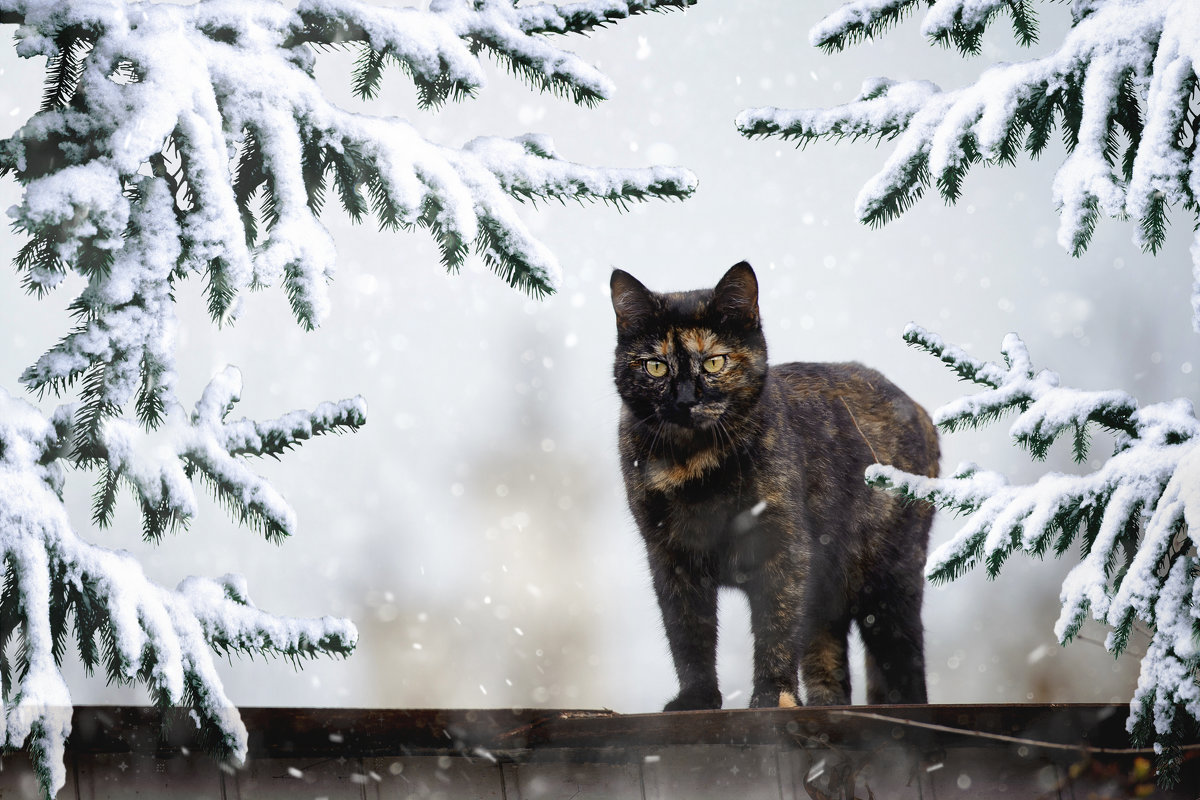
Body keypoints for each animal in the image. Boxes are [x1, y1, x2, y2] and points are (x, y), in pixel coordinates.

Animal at [609, 261, 936, 705]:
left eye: (714, 363)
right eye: (655, 366)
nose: (685, 400)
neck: (691, 465)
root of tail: (918, 410)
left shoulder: (784, 550)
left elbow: (775, 630)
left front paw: (772, 696)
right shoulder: (671, 558)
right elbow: (688, 635)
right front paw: (697, 699)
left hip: (889, 584)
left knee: (904, 661)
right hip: (828, 598)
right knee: (830, 666)